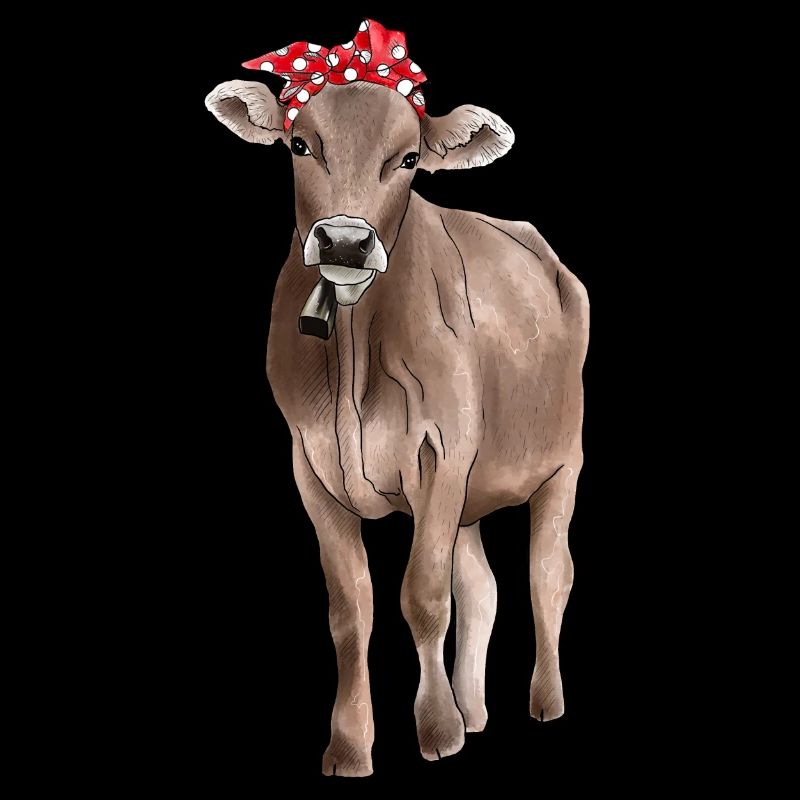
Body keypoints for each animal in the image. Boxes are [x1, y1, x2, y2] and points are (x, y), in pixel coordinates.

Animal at [206, 26, 589, 777]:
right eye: (301, 144)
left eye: (408, 158)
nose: (347, 240)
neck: (353, 356)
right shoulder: (310, 465)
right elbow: (352, 608)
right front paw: (352, 745)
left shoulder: (442, 451)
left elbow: (424, 596)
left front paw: (435, 730)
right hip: (472, 490)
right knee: (484, 588)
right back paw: (476, 711)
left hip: (563, 460)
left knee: (548, 576)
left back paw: (545, 701)